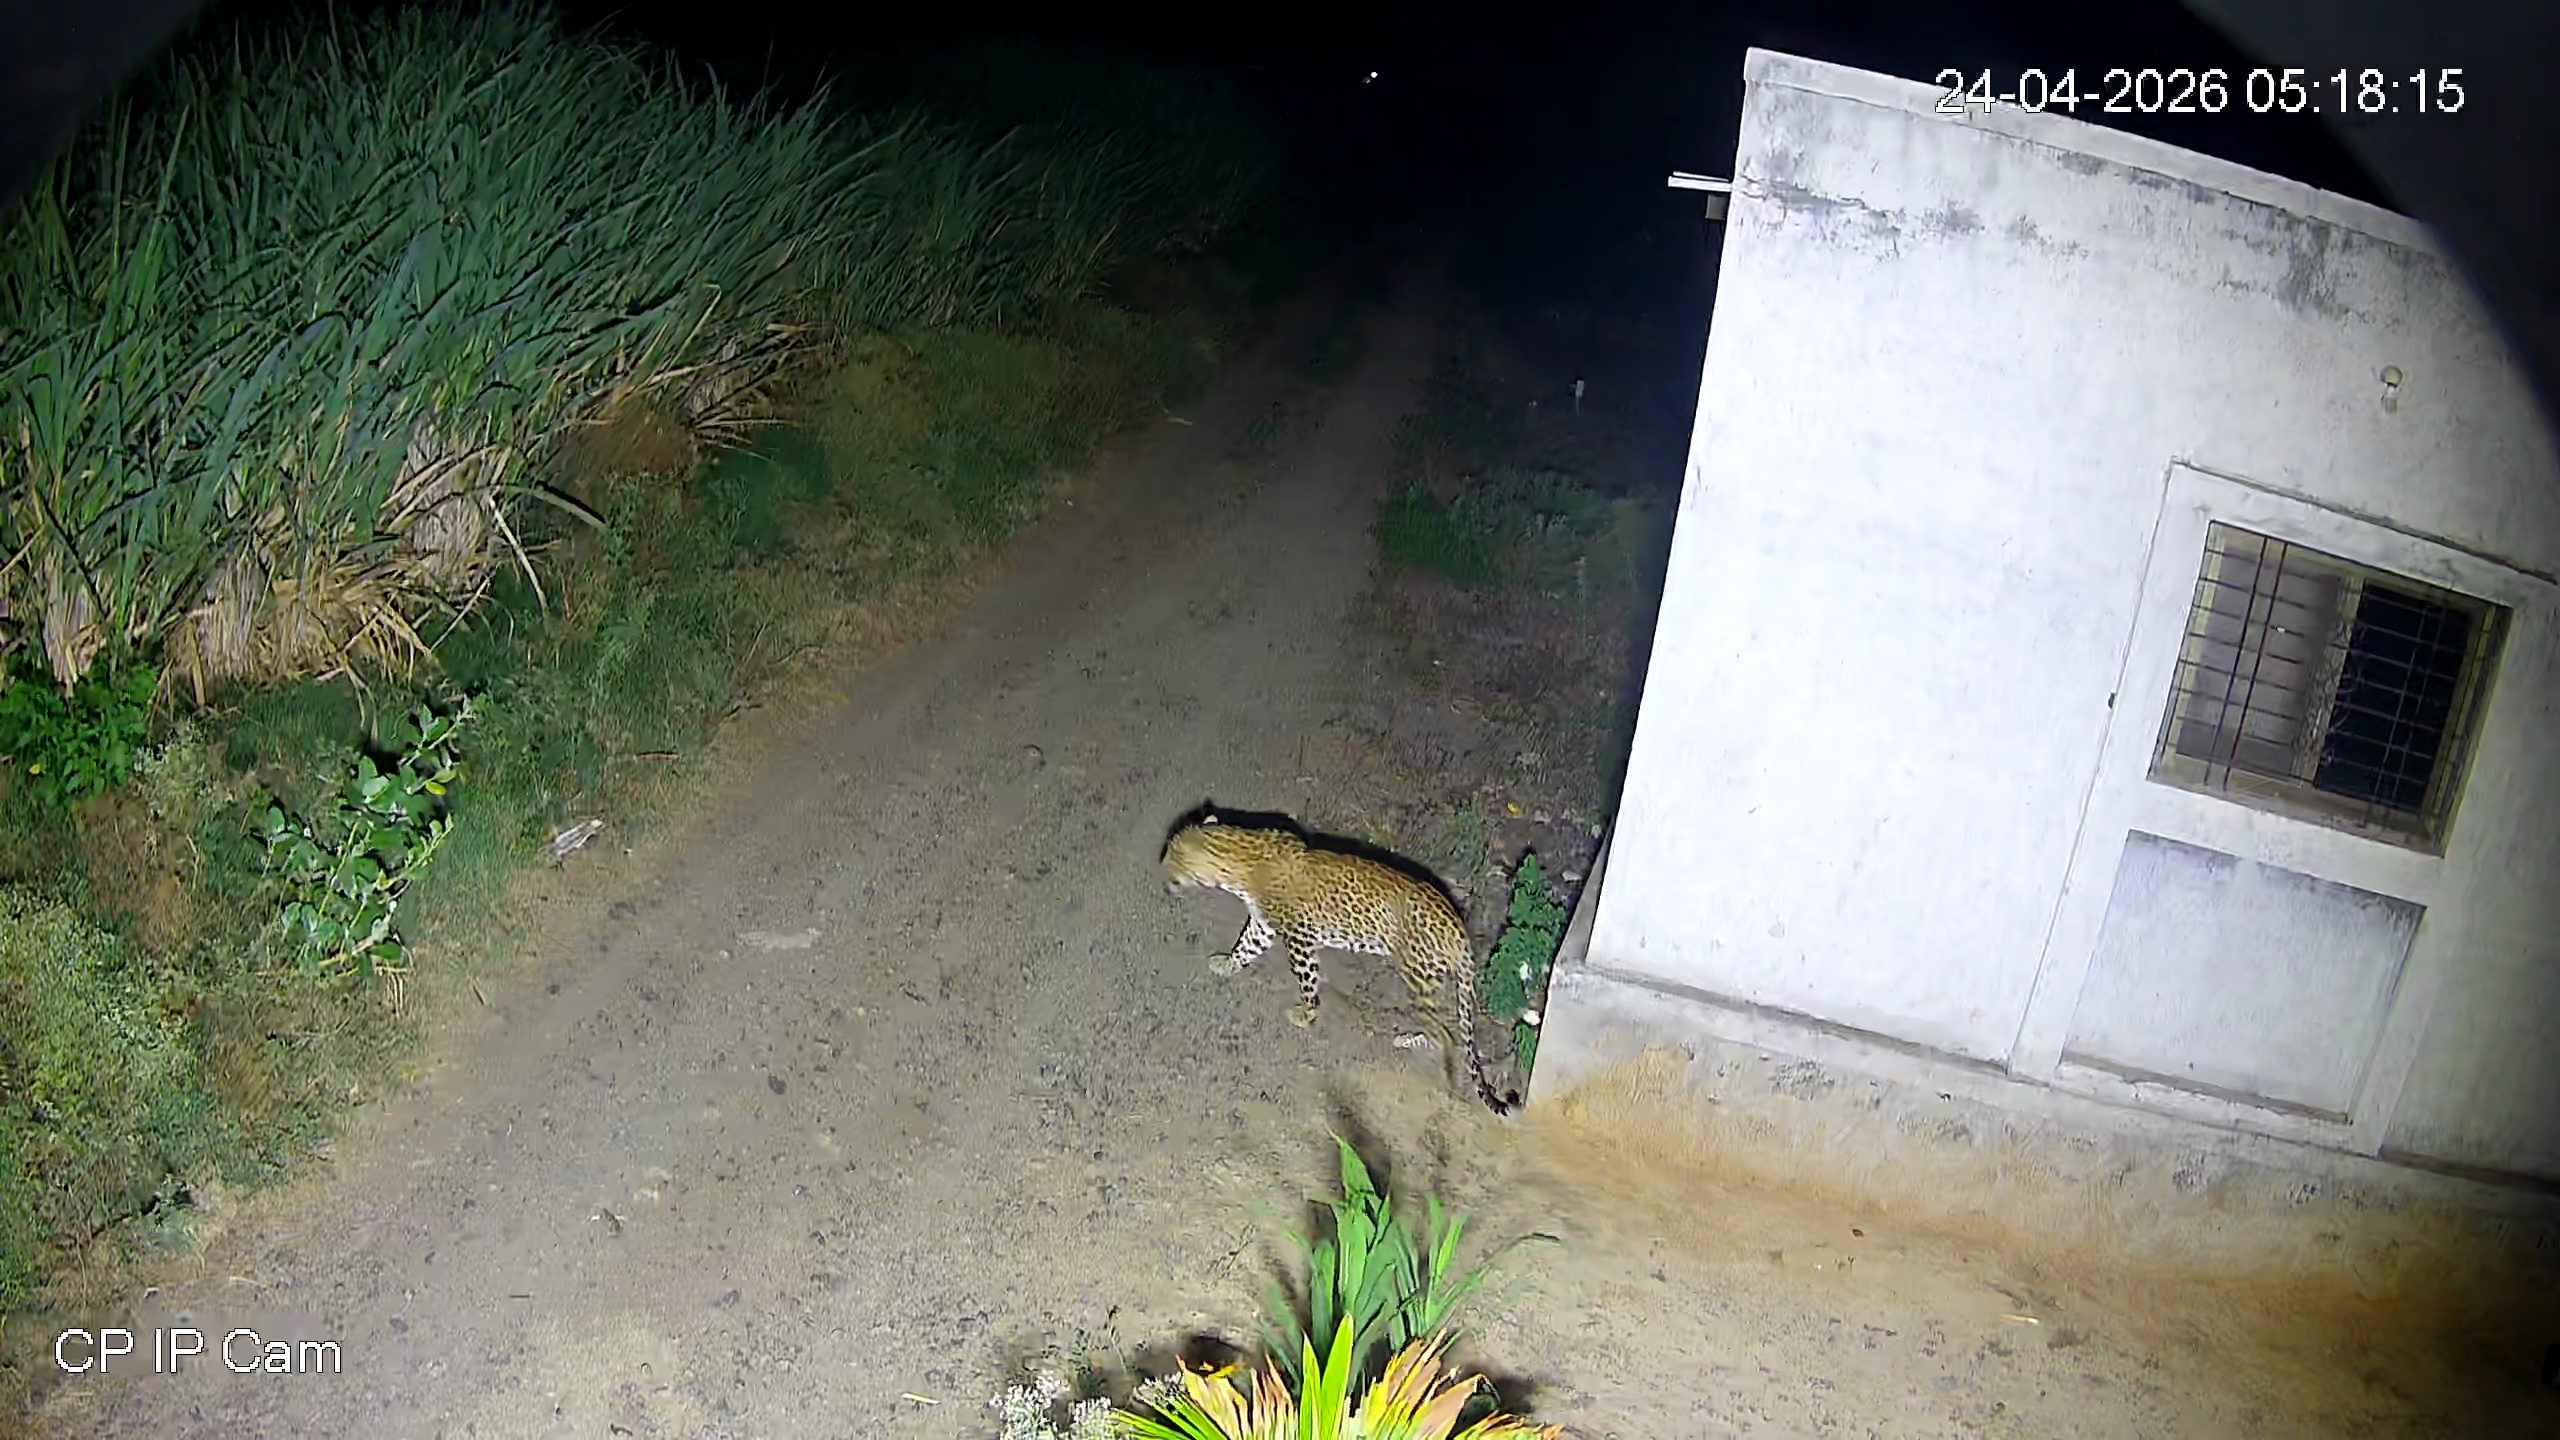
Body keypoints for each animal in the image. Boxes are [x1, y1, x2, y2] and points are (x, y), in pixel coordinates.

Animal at [1161, 813, 1521, 1115]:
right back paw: (1414, 1041)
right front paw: (1227, 964)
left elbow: (1307, 977)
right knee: (1446, 1026)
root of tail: (1459, 929)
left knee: (1446, 1034)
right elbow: (1246, 947)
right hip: (1437, 981)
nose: (1161, 869)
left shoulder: (1299, 937)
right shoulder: (1263, 925)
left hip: (1419, 978)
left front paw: (1306, 1015)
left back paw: (1440, 1070)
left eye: (1172, 855)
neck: (1240, 858)